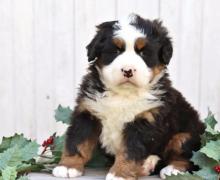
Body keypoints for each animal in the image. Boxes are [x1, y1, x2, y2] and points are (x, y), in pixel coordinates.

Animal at [52, 14, 205, 180]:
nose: (128, 70)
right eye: (116, 51)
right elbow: (78, 141)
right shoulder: (88, 112)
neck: (123, 94)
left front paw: (120, 174)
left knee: (186, 155)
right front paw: (68, 166)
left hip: (187, 133)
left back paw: (172, 169)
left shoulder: (145, 120)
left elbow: (130, 152)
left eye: (143, 53)